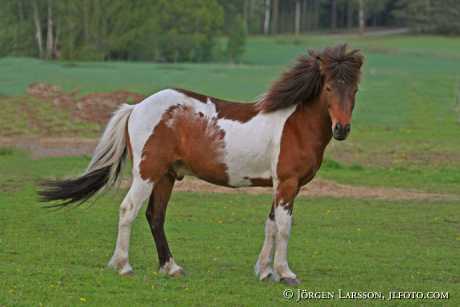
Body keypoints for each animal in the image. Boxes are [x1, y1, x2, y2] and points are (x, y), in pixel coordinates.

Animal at [39, 44, 362, 286]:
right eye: (329, 87)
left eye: (355, 89)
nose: (342, 129)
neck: (294, 126)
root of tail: (137, 107)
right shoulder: (287, 183)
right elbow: (283, 227)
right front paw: (285, 273)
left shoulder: (279, 185)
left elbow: (270, 225)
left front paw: (265, 271)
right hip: (147, 173)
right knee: (128, 209)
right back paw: (123, 266)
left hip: (166, 176)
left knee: (155, 216)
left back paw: (171, 268)